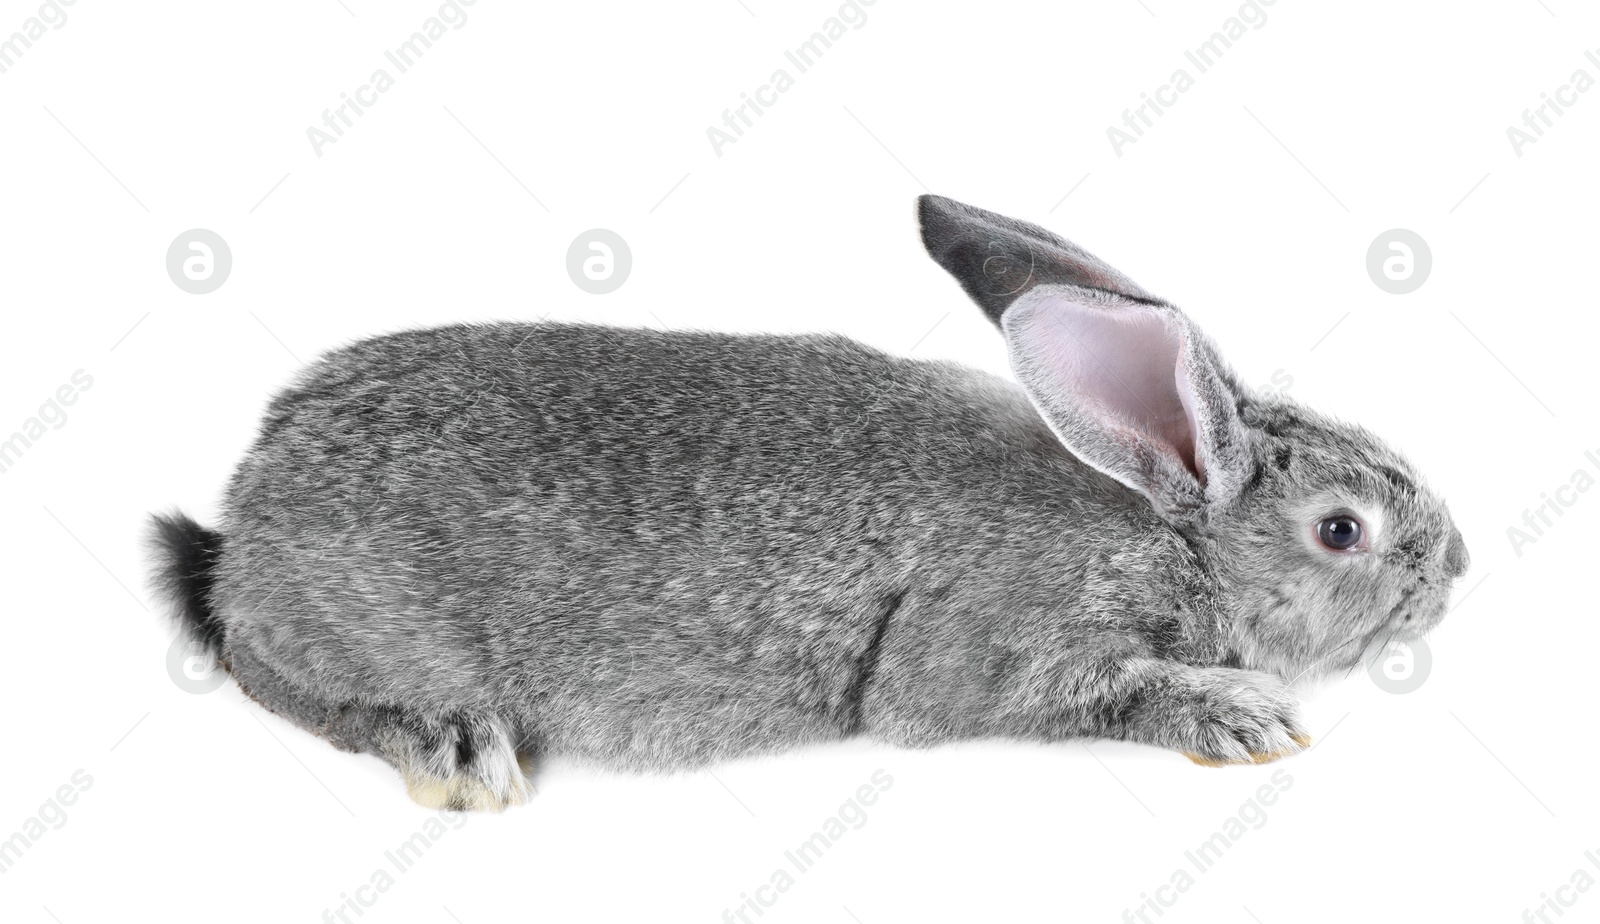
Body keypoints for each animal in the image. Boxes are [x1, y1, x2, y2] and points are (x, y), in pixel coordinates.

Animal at [147, 192, 1465, 805]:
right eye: (1341, 531)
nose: (1452, 574)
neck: (1166, 528)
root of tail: (250, 506)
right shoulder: (998, 651)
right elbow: (1097, 689)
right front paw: (1240, 717)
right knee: (271, 673)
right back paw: (451, 746)